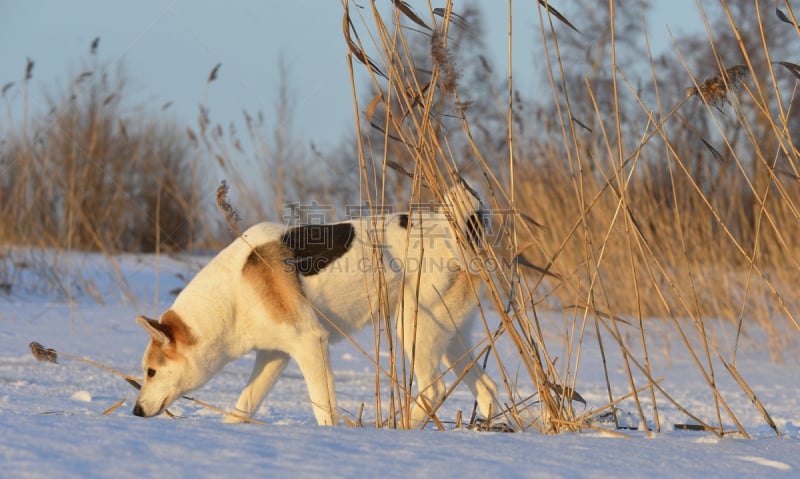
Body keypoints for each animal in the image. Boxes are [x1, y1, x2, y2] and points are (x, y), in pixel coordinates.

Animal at [133, 184, 500, 428]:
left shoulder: (310, 344)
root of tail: (458, 230)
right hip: (450, 340)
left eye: (151, 372)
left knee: (433, 390)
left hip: (413, 329)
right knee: (487, 388)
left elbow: (323, 407)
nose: (135, 411)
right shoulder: (274, 356)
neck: (234, 293)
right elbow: (244, 404)